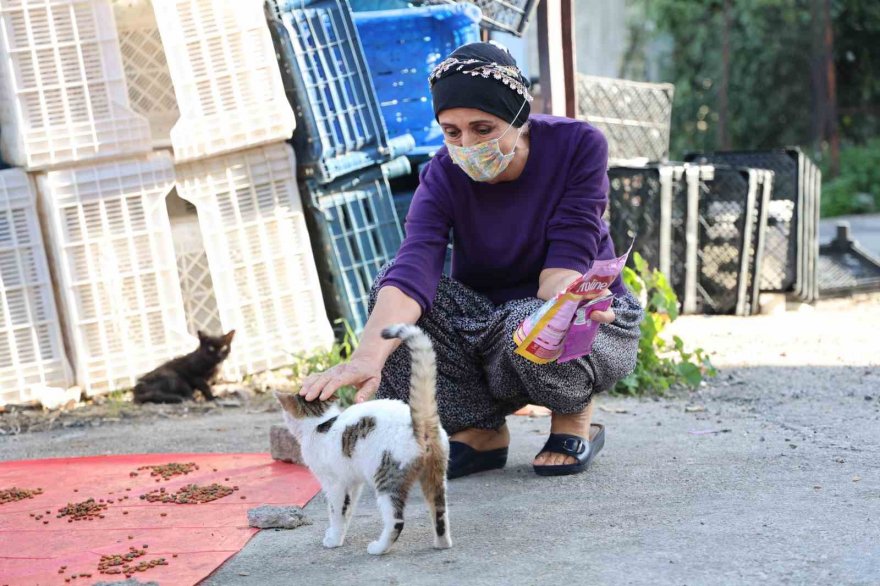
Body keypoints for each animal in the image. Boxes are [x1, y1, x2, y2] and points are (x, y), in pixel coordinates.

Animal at [276, 324, 454, 552]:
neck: (319, 423)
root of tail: (419, 422)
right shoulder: (352, 483)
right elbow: (346, 512)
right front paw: (338, 535)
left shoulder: (334, 483)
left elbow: (335, 512)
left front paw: (333, 540)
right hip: (436, 475)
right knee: (440, 513)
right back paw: (442, 544)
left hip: (386, 479)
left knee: (396, 520)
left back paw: (378, 548)